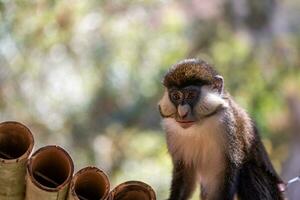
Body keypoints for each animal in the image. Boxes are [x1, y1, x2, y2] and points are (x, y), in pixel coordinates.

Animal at [158, 58, 284, 200]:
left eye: (190, 95)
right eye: (176, 96)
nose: (182, 113)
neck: (200, 124)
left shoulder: (227, 123)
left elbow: (229, 169)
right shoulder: (171, 131)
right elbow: (185, 172)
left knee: (247, 170)